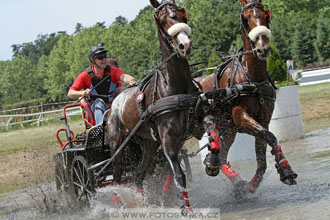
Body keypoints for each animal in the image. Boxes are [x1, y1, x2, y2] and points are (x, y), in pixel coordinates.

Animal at [105, 0, 197, 211]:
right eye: (162, 20)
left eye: (183, 15)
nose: (184, 45)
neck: (172, 86)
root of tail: (115, 101)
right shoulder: (167, 137)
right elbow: (178, 174)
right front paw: (187, 209)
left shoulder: (187, 131)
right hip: (117, 143)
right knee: (117, 175)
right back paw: (119, 200)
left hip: (149, 143)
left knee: (139, 173)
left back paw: (144, 201)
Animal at [195, 0, 298, 196]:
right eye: (246, 18)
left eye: (265, 15)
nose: (262, 49)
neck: (251, 77)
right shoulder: (241, 118)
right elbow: (270, 135)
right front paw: (285, 169)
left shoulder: (263, 120)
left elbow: (264, 155)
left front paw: (253, 185)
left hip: (227, 130)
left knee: (222, 156)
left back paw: (234, 180)